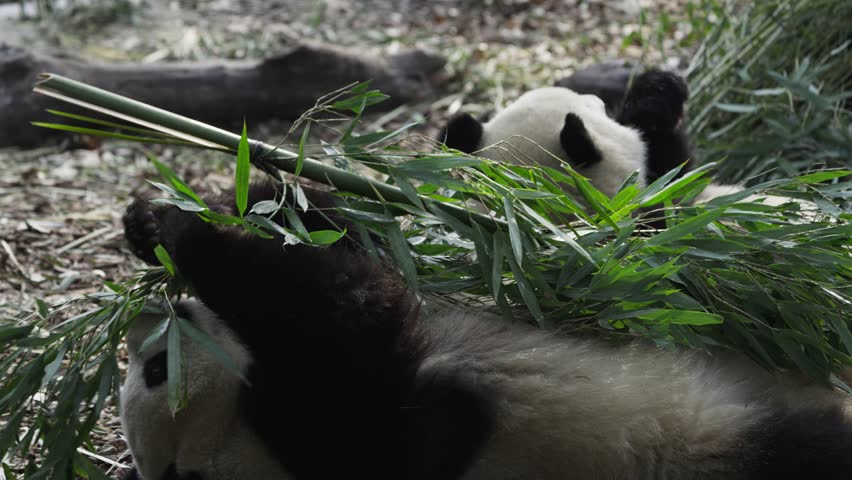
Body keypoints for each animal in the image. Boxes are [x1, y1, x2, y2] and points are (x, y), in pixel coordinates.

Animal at [118, 181, 852, 479]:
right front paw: (184, 230)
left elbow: (354, 246)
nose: (148, 323)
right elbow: (356, 305)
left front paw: (164, 218)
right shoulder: (355, 435)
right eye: (155, 372)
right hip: (719, 443)